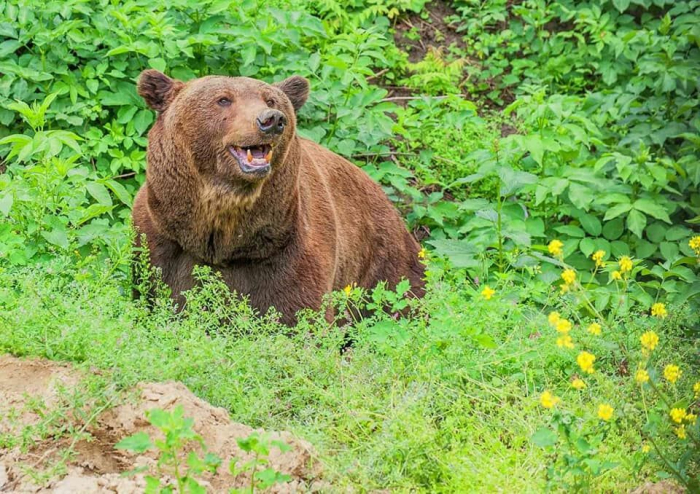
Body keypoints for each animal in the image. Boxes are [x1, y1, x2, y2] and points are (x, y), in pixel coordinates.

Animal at [133, 69, 424, 324]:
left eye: (270, 99)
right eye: (223, 99)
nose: (271, 120)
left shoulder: (287, 249)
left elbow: (300, 315)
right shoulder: (162, 239)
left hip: (382, 258)